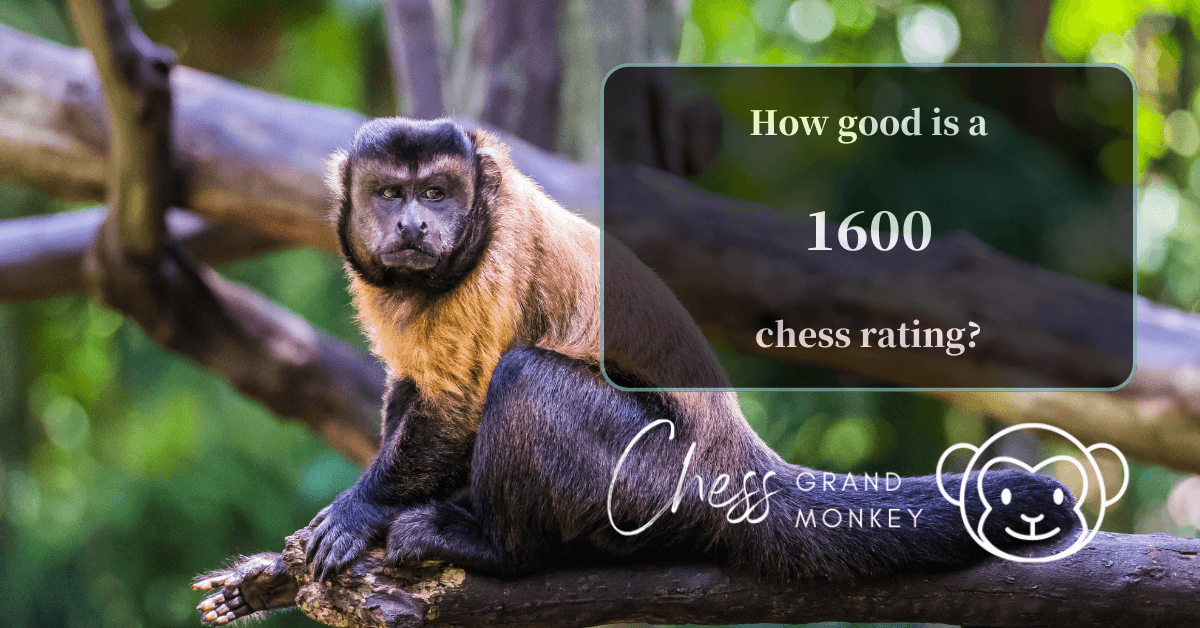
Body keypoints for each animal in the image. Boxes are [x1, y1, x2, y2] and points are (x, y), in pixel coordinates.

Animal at [194, 117, 1077, 625]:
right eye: (390, 195)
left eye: (439, 193)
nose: (414, 224)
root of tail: (735, 461)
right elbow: (410, 392)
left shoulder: (490, 262)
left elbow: (457, 404)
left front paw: (359, 511)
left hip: (651, 479)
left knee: (523, 379)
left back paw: (500, 549)